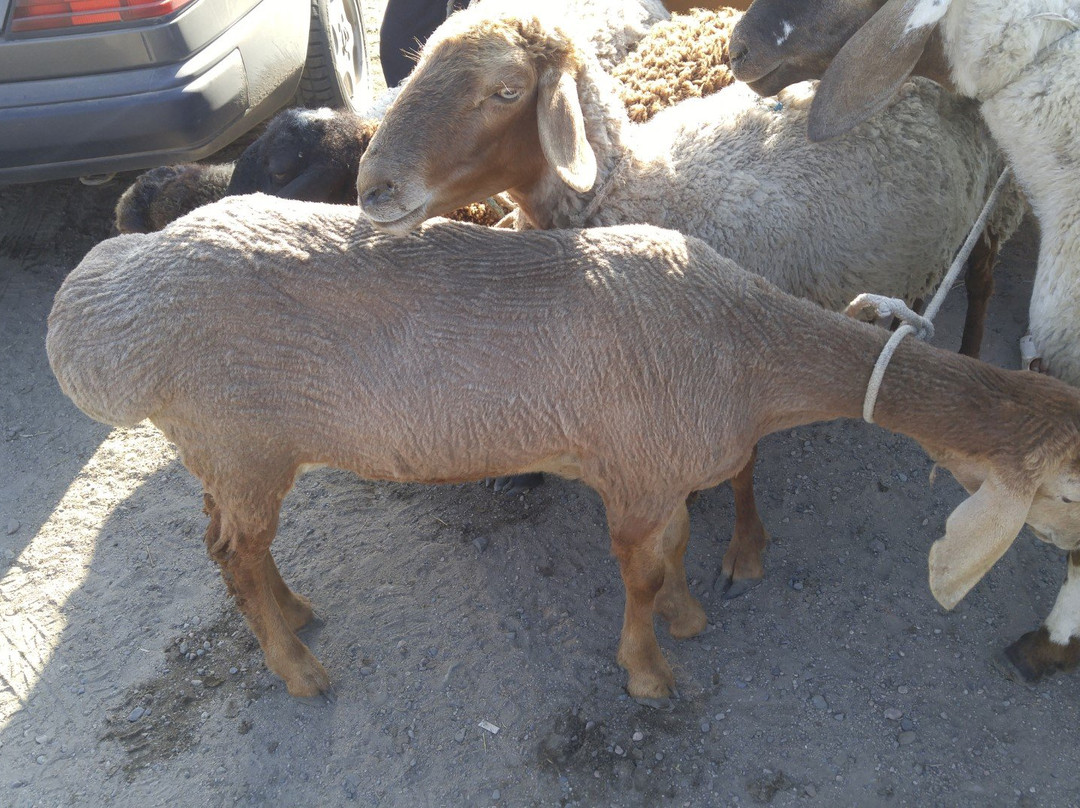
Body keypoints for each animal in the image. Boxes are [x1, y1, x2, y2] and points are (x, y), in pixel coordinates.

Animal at [46, 195, 1080, 699]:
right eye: (1071, 490)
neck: (744, 352)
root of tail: (104, 306)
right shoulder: (637, 474)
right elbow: (638, 571)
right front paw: (649, 672)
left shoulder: (655, 466)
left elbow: (673, 554)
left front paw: (686, 617)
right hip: (242, 437)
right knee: (233, 549)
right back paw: (296, 670)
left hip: (223, 450)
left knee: (226, 541)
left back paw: (293, 616)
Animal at [356, 0, 1028, 596]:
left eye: (505, 90)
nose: (370, 188)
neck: (634, 188)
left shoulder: (740, 353)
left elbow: (742, 468)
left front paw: (742, 552)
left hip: (999, 204)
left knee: (983, 281)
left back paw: (972, 357)